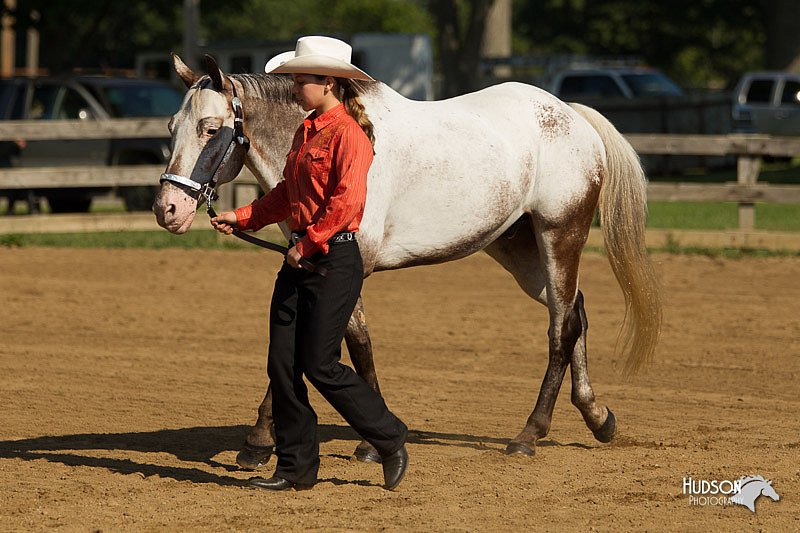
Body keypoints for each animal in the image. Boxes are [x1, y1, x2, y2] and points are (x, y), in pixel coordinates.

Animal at [153, 55, 660, 466]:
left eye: (210, 128)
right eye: (170, 128)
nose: (167, 209)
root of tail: (572, 116)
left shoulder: (348, 264)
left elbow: (350, 343)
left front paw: (366, 442)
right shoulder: (304, 262)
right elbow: (310, 344)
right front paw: (264, 440)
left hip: (560, 235)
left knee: (561, 329)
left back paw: (529, 435)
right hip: (520, 250)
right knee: (574, 311)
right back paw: (598, 417)